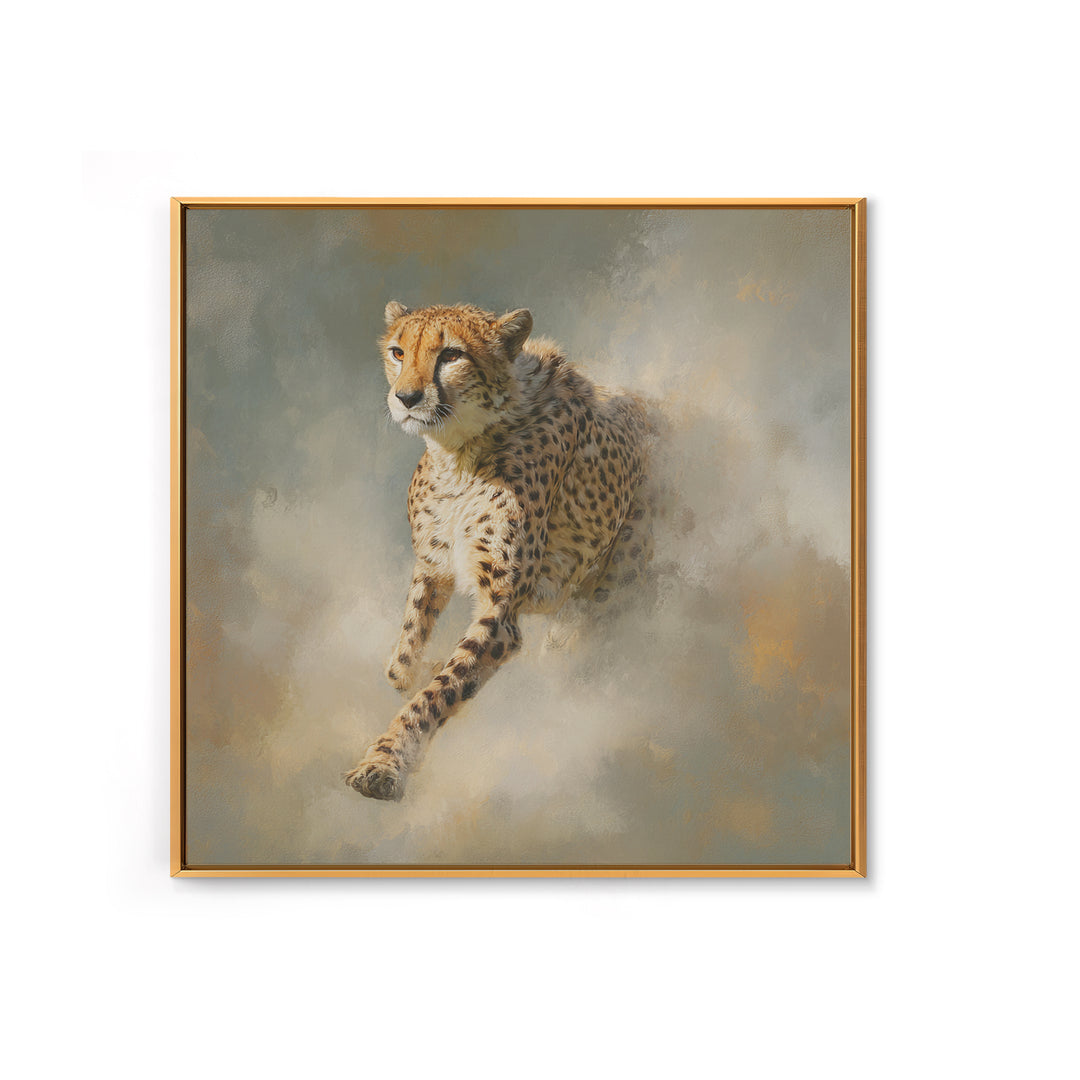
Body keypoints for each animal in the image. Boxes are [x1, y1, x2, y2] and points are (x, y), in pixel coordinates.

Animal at [345, 300, 655, 801]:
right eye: (398, 351)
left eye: (451, 355)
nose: (406, 398)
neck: (459, 455)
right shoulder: (434, 563)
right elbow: (403, 660)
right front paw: (419, 668)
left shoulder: (501, 610)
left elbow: (436, 693)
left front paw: (385, 762)